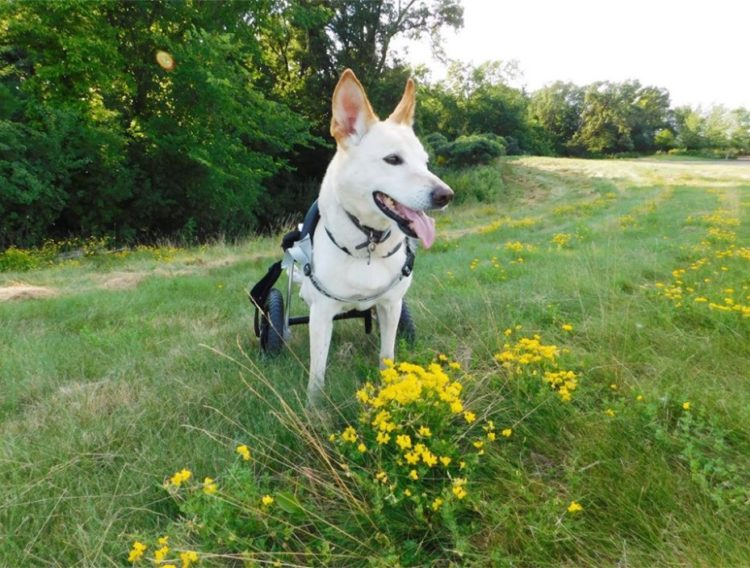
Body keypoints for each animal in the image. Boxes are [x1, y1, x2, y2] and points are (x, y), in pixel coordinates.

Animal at [298, 69, 452, 402]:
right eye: (392, 160)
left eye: (425, 162)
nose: (446, 195)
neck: (367, 243)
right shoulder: (321, 315)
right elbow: (317, 372)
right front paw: (313, 407)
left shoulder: (391, 305)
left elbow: (387, 354)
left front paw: (389, 386)